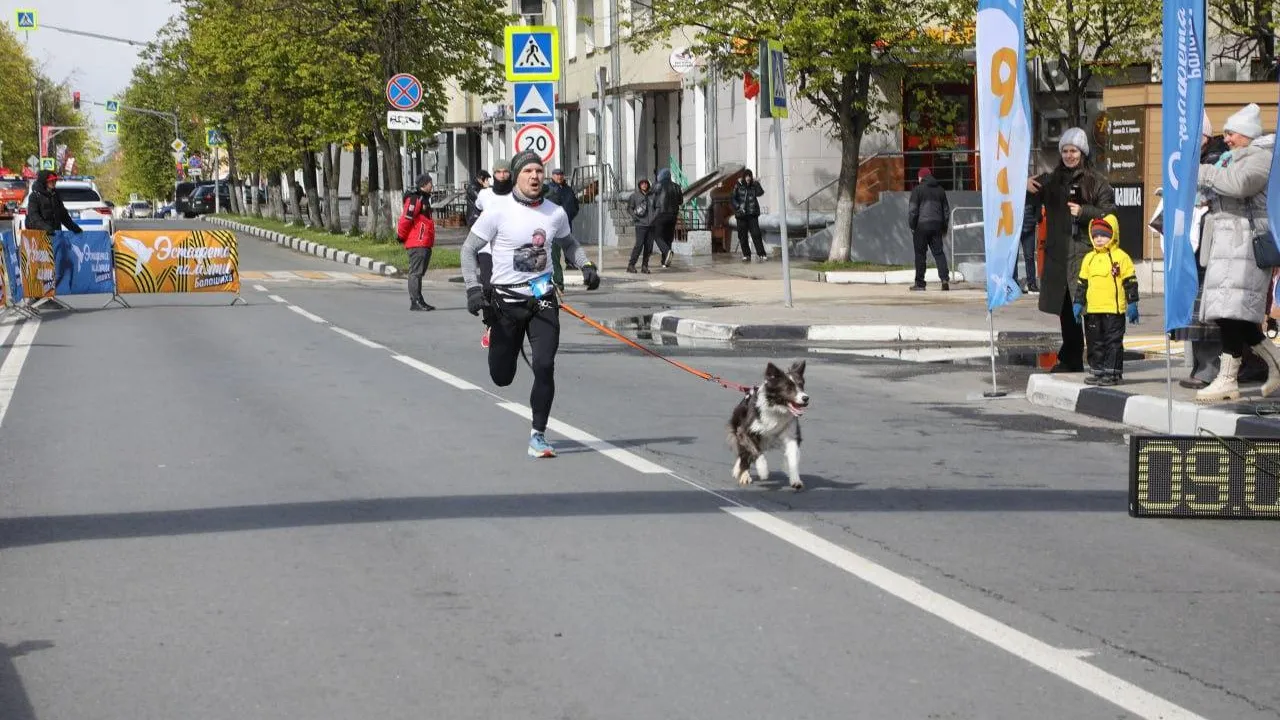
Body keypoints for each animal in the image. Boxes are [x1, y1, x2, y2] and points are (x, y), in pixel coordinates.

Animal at [732, 358, 808, 486]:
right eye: (788, 388)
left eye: (801, 385)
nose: (806, 398)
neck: (777, 408)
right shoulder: (744, 431)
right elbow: (755, 451)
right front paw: (763, 470)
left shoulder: (791, 433)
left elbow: (793, 457)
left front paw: (795, 479)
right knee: (744, 454)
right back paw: (743, 473)